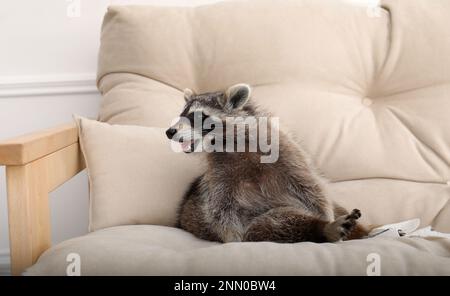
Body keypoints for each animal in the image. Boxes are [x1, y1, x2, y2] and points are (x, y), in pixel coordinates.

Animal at [163, 83, 368, 243]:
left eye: (197, 116)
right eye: (182, 114)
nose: (170, 131)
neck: (228, 144)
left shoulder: (283, 150)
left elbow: (310, 185)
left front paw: (325, 214)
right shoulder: (219, 174)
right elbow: (221, 209)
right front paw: (233, 238)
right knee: (269, 225)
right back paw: (321, 229)